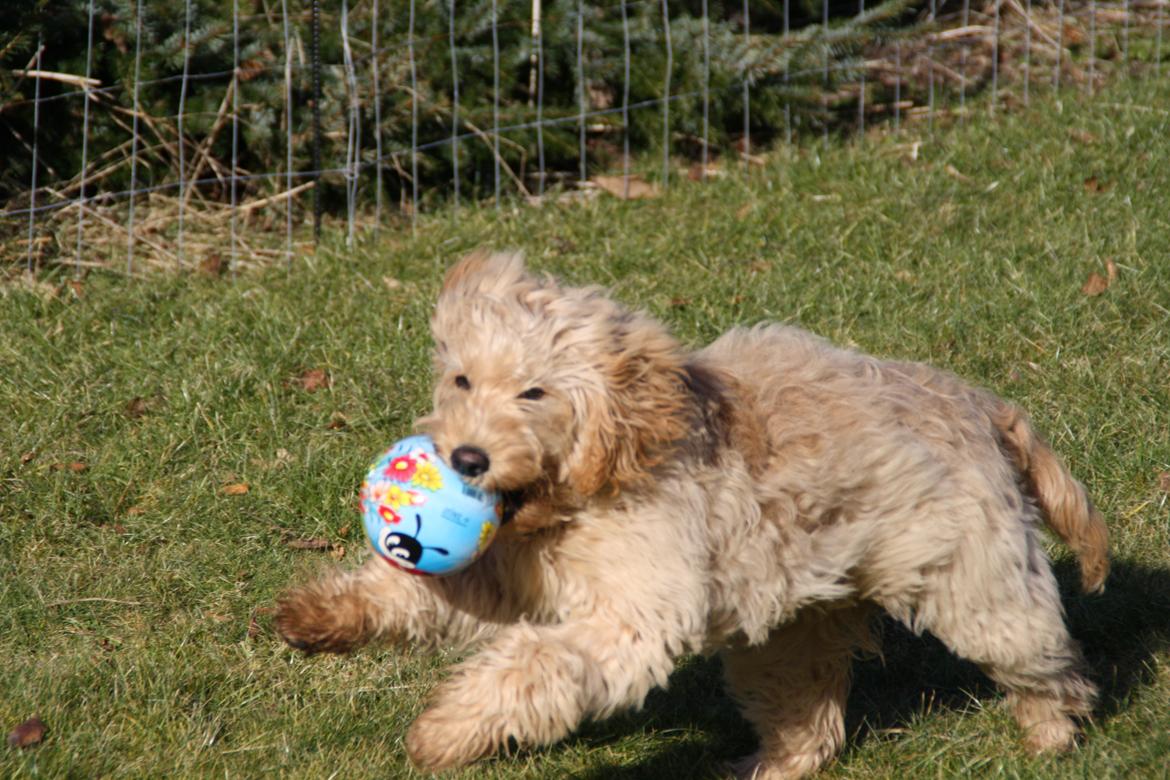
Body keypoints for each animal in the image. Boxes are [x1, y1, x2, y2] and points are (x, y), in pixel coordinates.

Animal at [273, 253, 1104, 776]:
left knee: (1043, 655)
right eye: (462, 380)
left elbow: (535, 665)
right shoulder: (505, 568)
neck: (595, 478)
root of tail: (983, 404)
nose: (467, 459)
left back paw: (1050, 734)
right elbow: (417, 591)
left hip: (977, 580)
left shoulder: (631, 614)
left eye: (534, 393)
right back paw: (770, 766)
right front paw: (322, 614)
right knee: (809, 713)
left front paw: (444, 732)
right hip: (787, 628)